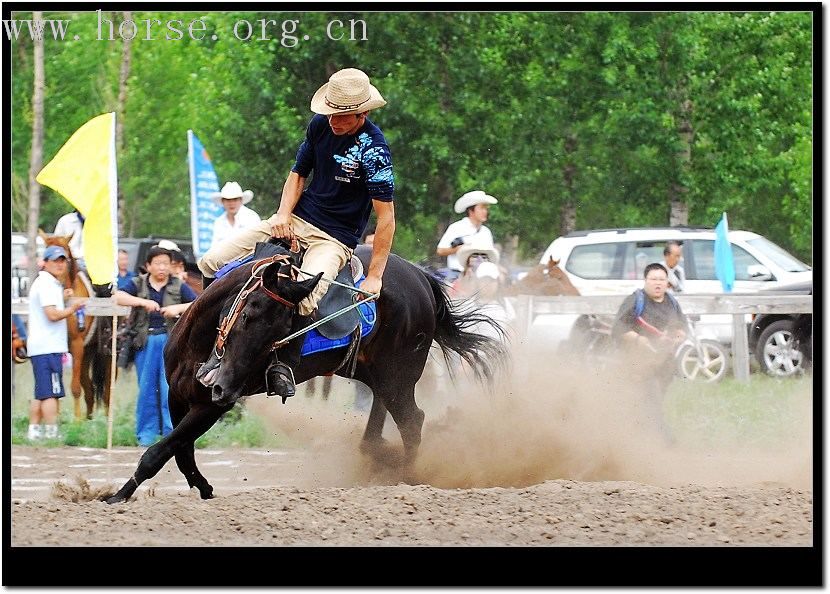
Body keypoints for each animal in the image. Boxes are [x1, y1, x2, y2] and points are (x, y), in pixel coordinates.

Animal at [39, 229, 110, 418]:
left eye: (66, 258)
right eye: (44, 256)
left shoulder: (77, 344)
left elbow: (75, 388)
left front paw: (76, 421)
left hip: (107, 355)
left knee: (107, 391)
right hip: (87, 353)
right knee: (91, 391)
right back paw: (89, 419)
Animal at [104, 243, 508, 502]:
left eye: (286, 327)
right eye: (247, 313)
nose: (223, 384)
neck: (201, 340)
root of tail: (423, 280)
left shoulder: (210, 405)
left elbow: (160, 451)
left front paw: (117, 495)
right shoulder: (178, 393)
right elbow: (181, 452)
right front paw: (203, 488)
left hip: (399, 375)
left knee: (413, 420)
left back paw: (406, 478)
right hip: (375, 373)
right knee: (384, 413)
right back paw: (376, 455)